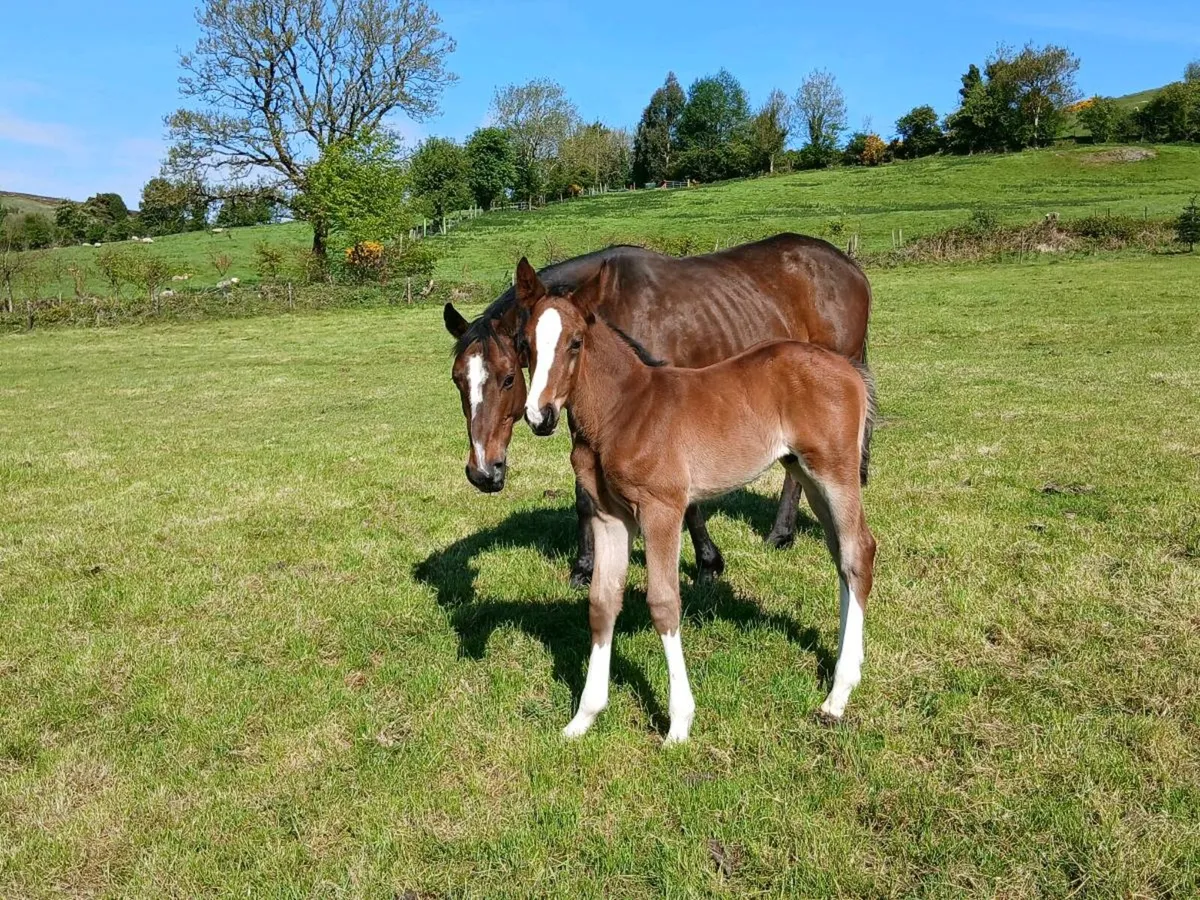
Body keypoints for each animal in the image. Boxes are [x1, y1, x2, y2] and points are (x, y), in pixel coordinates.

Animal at [444, 234, 872, 587]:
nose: (483, 472)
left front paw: (708, 563)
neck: (612, 303)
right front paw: (584, 568)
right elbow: (584, 496)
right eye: (457, 379)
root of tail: (849, 265)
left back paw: (780, 534)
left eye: (507, 379)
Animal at [514, 258, 877, 743]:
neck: (623, 410)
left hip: (835, 471)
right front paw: (584, 718)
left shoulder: (661, 509)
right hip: (807, 472)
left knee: (858, 552)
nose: (541, 416)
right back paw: (841, 670)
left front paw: (679, 723)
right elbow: (602, 603)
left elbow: (664, 603)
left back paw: (838, 696)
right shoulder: (611, 518)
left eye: (576, 342)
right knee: (840, 554)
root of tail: (849, 369)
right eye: (525, 344)